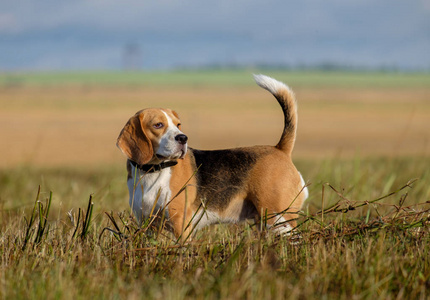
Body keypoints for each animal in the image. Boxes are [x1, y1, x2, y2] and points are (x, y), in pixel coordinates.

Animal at [116, 75, 308, 239]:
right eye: (158, 125)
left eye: (178, 125)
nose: (183, 138)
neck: (153, 171)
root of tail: (280, 149)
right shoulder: (147, 225)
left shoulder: (181, 225)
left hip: (279, 219)